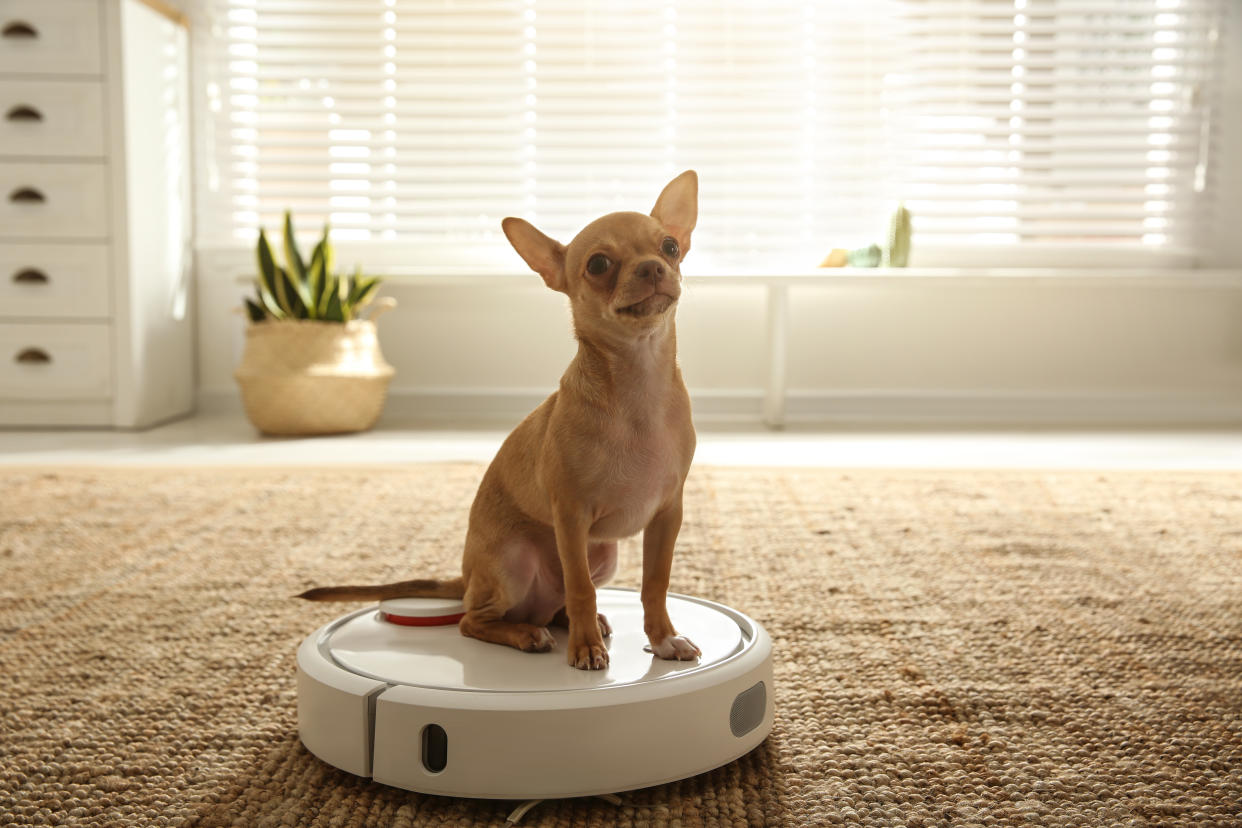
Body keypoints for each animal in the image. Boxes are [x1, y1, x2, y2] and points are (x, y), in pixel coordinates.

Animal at [298, 171, 700, 670]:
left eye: (670, 246)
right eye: (598, 264)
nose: (652, 268)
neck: (638, 384)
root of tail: (466, 577)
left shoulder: (666, 516)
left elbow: (655, 584)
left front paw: (663, 639)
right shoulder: (571, 517)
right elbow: (581, 587)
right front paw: (586, 648)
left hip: (603, 554)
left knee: (553, 604)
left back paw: (574, 623)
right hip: (514, 561)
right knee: (476, 620)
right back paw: (532, 634)